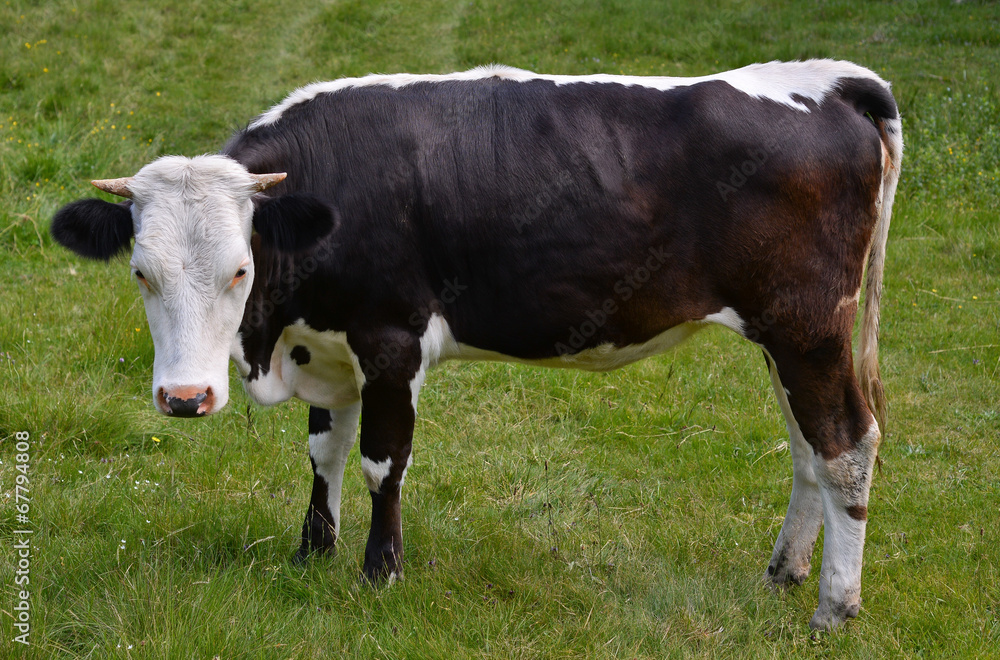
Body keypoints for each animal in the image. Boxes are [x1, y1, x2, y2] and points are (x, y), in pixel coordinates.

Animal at [50, 60, 904, 628]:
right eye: (141, 273)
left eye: (238, 269)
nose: (185, 398)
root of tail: (828, 79)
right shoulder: (329, 345)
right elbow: (324, 453)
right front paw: (312, 554)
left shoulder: (391, 339)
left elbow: (380, 462)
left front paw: (380, 574)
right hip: (787, 338)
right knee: (806, 447)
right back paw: (784, 572)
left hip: (806, 327)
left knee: (845, 443)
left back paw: (836, 603)